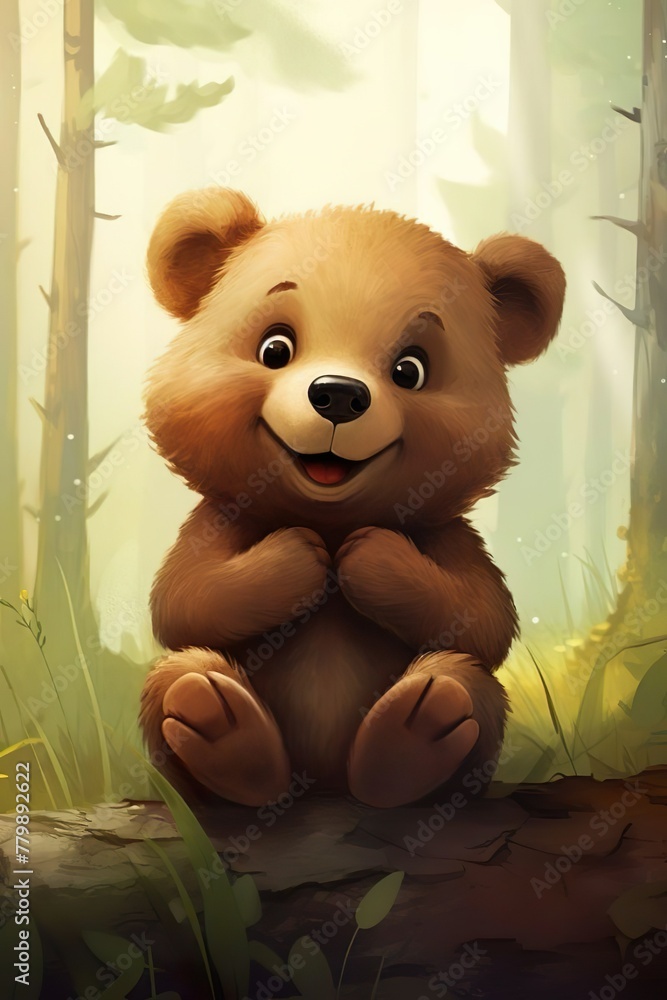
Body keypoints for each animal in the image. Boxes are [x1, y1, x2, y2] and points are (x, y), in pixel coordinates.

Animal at [139, 187, 565, 809]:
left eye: (410, 369)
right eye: (275, 348)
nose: (338, 395)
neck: (330, 515)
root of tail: (325, 782)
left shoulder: (448, 534)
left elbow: (482, 618)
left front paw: (370, 558)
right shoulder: (219, 517)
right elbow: (184, 601)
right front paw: (298, 558)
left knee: (464, 686)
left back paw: (412, 740)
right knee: (184, 675)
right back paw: (221, 734)